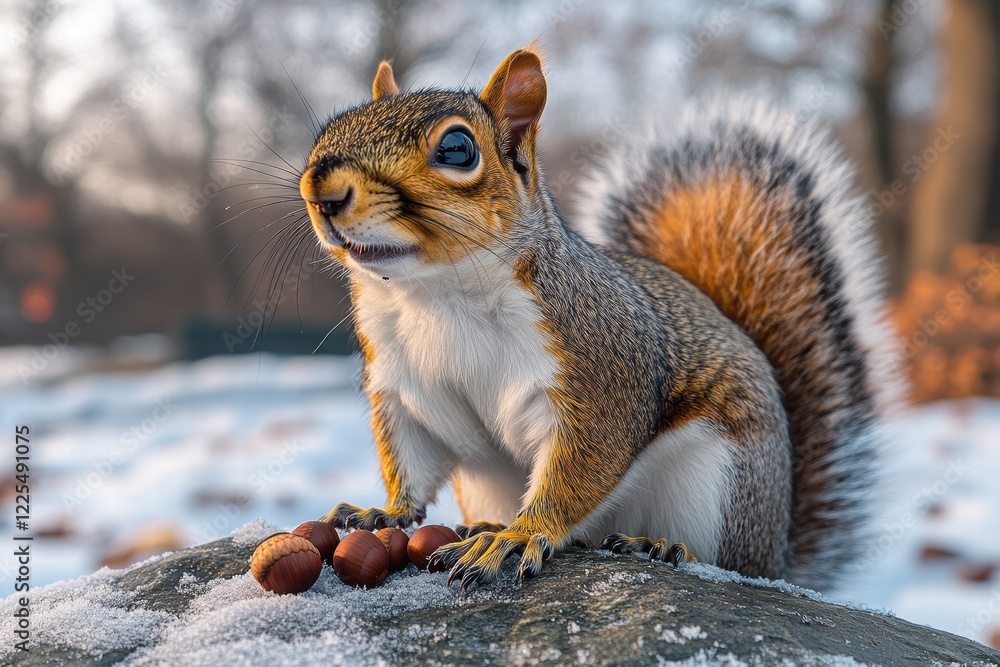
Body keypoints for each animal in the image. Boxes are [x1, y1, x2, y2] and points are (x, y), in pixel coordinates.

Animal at [299, 45, 899, 592]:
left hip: (715, 484)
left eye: (456, 148)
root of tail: (777, 551)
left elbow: (581, 466)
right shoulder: (403, 387)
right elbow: (413, 458)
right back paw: (487, 524)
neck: (437, 295)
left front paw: (520, 536)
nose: (321, 192)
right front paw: (385, 512)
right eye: (330, 129)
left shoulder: (602, 374)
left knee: (724, 562)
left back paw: (658, 546)